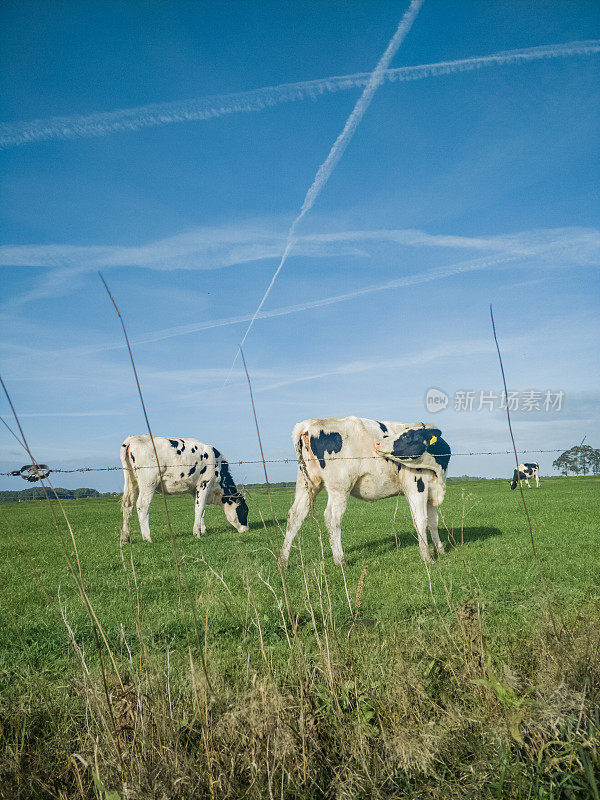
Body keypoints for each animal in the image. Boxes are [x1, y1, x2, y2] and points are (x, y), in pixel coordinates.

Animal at [119, 438, 248, 544]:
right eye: (244, 510)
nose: (247, 529)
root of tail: (133, 439)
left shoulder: (194, 490)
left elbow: (201, 510)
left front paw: (203, 530)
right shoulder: (204, 484)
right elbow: (200, 508)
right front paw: (197, 533)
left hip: (131, 481)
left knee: (127, 505)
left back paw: (125, 538)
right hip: (149, 482)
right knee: (142, 506)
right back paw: (147, 538)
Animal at [280, 416, 450, 564]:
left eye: (407, 436)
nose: (378, 443)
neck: (438, 472)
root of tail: (311, 423)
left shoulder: (431, 492)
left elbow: (433, 521)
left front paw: (440, 550)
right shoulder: (416, 486)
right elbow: (421, 520)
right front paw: (427, 557)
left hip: (307, 484)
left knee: (295, 515)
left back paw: (283, 561)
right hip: (340, 486)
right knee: (332, 518)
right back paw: (340, 560)